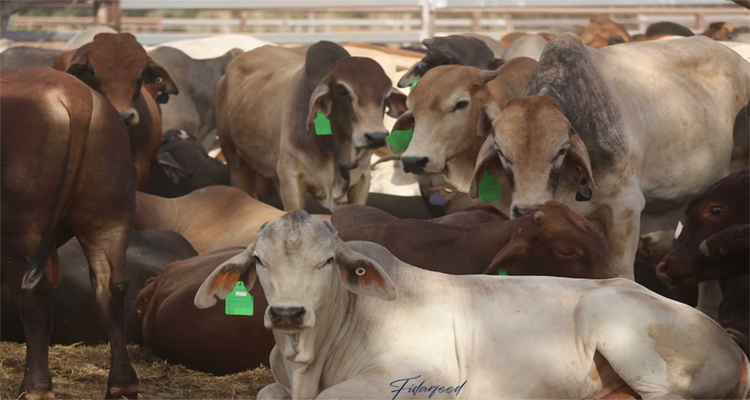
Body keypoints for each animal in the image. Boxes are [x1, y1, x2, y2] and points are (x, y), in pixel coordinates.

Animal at [1, 66, 138, 399]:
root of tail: (71, 89)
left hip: (23, 227)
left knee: (33, 299)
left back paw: (35, 388)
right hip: (109, 216)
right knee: (111, 287)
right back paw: (122, 385)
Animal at [195, 211, 750, 400]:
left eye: (328, 261)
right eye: (259, 260)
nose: (288, 314)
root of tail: (732, 345)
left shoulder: (419, 381)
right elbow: (266, 393)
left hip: (618, 327)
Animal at [217, 41, 407, 211]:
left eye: (386, 95)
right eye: (343, 91)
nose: (376, 137)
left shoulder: (363, 178)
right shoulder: (290, 176)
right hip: (236, 161)